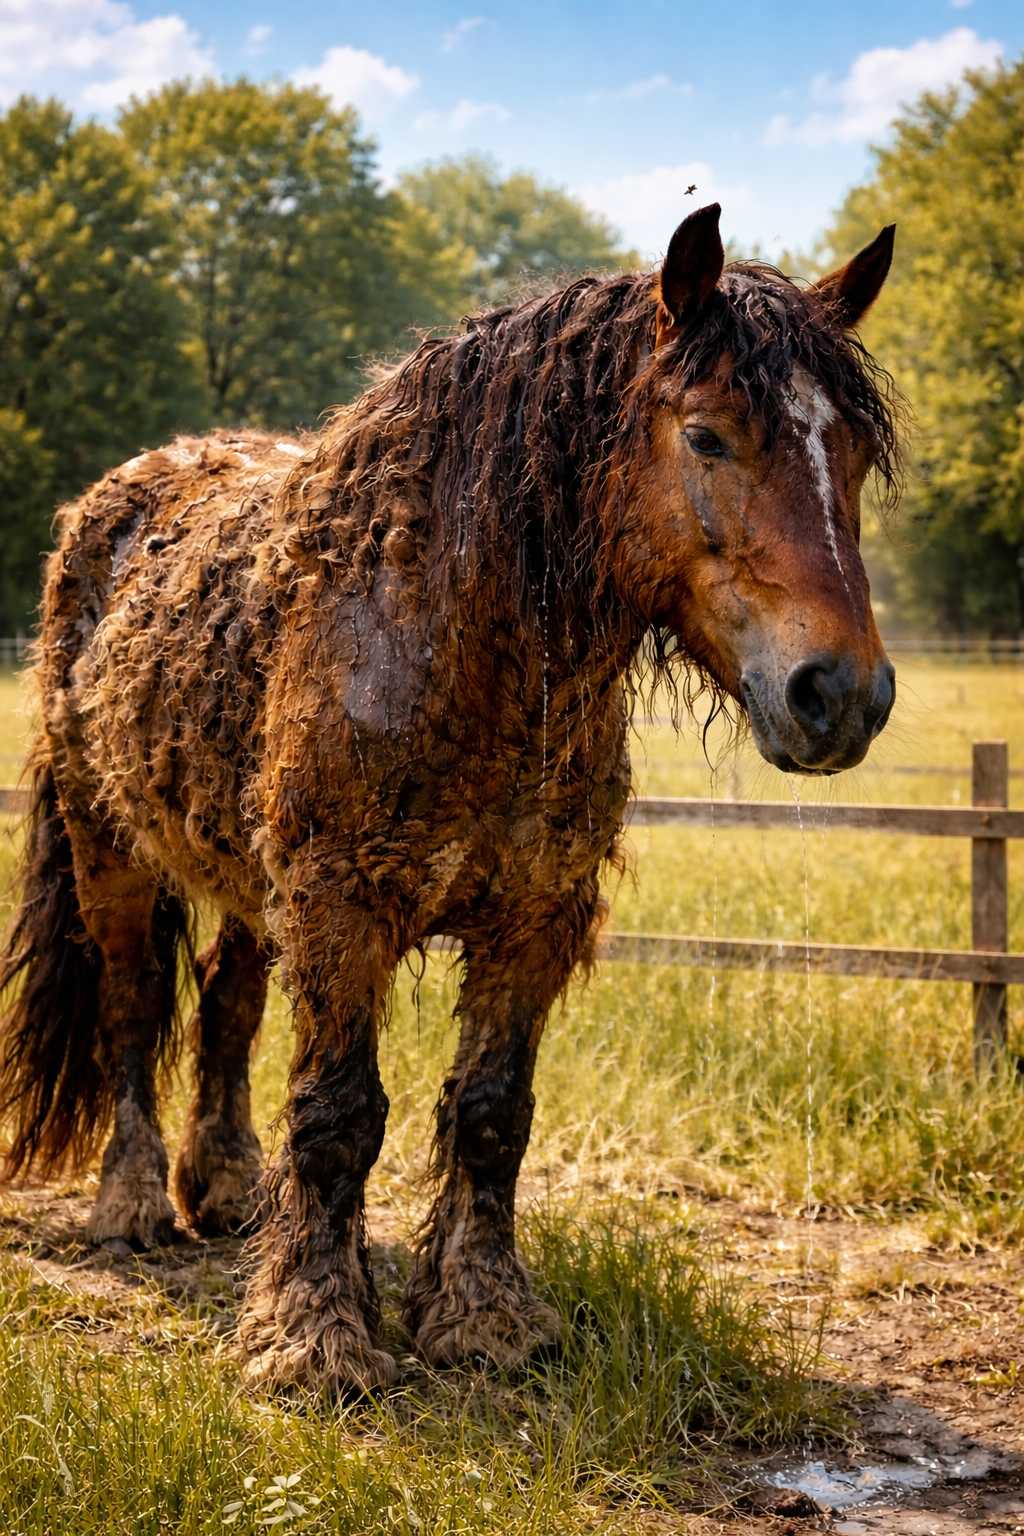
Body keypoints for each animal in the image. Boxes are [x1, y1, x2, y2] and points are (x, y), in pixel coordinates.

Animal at [0, 204, 901, 1393]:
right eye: (708, 437)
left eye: (850, 452)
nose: (840, 695)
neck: (446, 639)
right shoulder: (342, 909)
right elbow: (338, 1117)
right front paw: (314, 1336)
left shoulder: (533, 919)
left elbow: (490, 1116)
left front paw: (482, 1316)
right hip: (109, 850)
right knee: (135, 1010)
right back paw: (134, 1203)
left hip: (247, 880)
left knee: (229, 1009)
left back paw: (229, 1190)